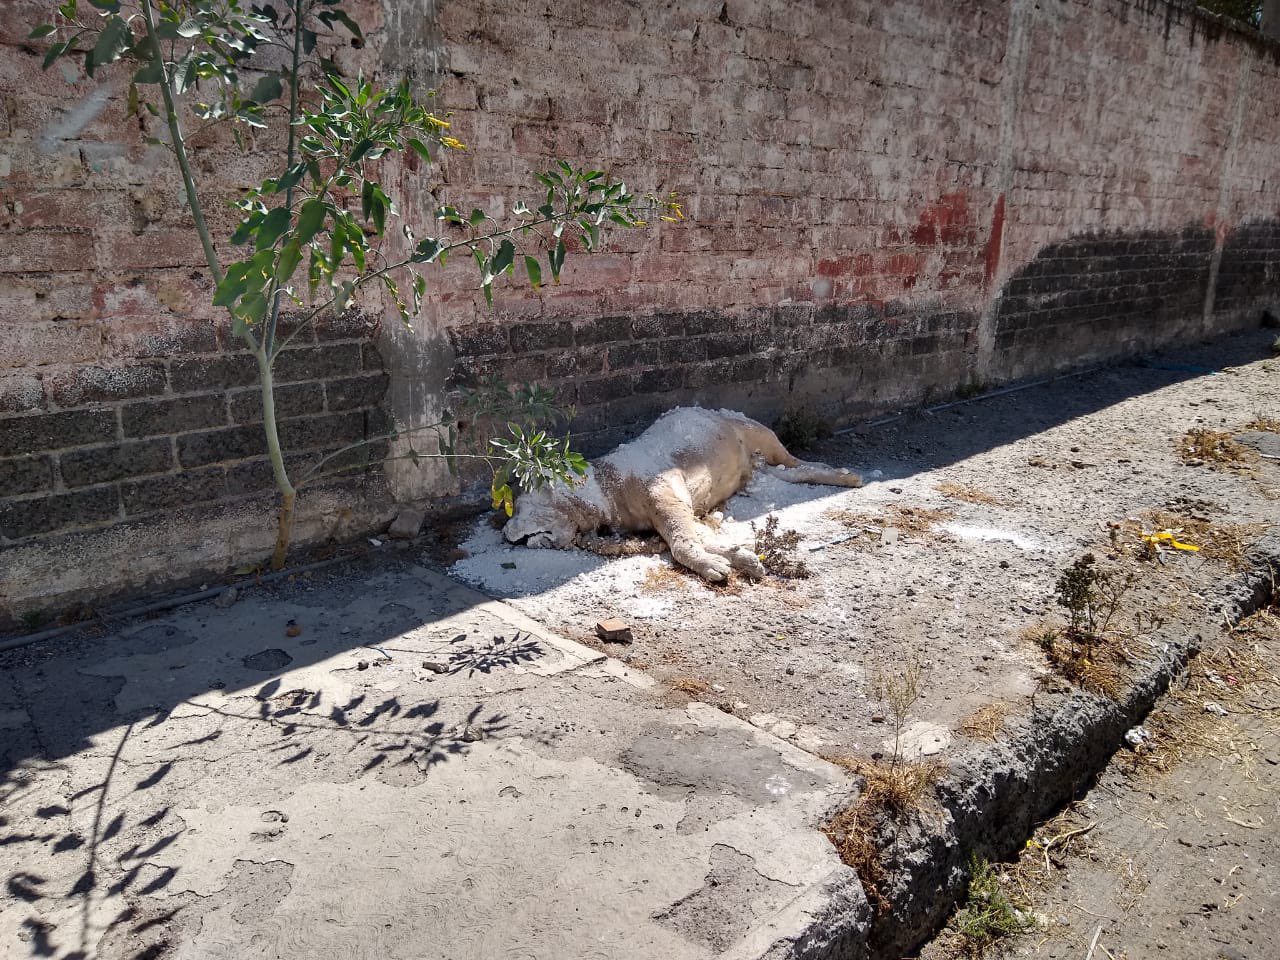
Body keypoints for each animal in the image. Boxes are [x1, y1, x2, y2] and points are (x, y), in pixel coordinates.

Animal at [503, 407, 863, 582]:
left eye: (522, 504)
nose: (505, 532)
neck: (607, 487)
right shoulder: (671, 511)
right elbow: (695, 536)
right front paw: (737, 557)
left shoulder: (665, 494)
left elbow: (682, 542)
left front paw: (710, 563)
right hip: (756, 465)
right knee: (788, 472)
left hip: (754, 430)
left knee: (794, 460)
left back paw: (844, 475)